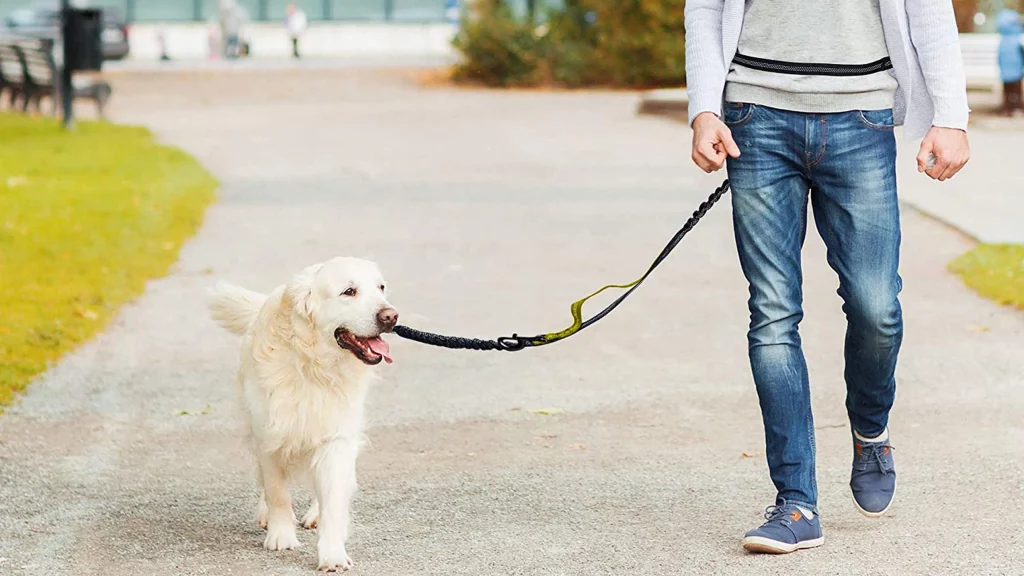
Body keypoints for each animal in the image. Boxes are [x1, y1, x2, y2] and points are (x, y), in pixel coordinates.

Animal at [206, 256, 395, 569]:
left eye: (381, 287)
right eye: (349, 291)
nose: (391, 316)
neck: (313, 364)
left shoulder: (336, 436)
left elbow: (333, 497)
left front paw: (332, 552)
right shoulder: (268, 434)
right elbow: (277, 492)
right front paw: (281, 536)